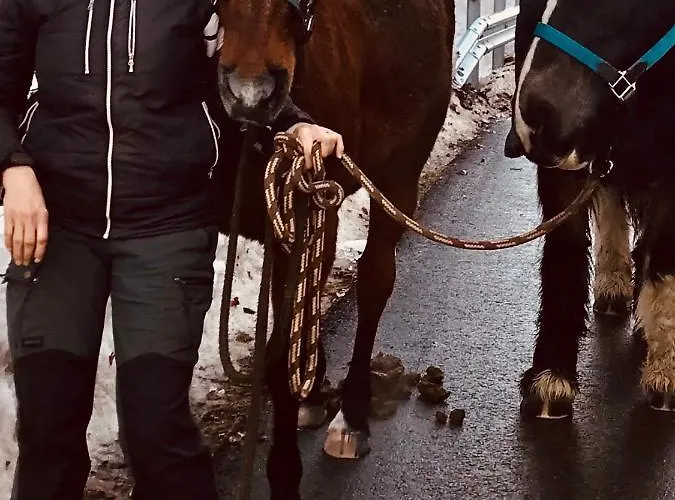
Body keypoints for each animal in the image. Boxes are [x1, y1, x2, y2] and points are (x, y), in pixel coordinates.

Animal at [210, 0, 455, 496]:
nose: (251, 93)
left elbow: (279, 358)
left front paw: (284, 472)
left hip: (396, 180)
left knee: (375, 282)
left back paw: (352, 415)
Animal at [504, 0, 675, 419]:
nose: (536, 120)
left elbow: (663, 262)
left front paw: (664, 374)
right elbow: (563, 254)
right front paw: (551, 374)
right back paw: (613, 284)